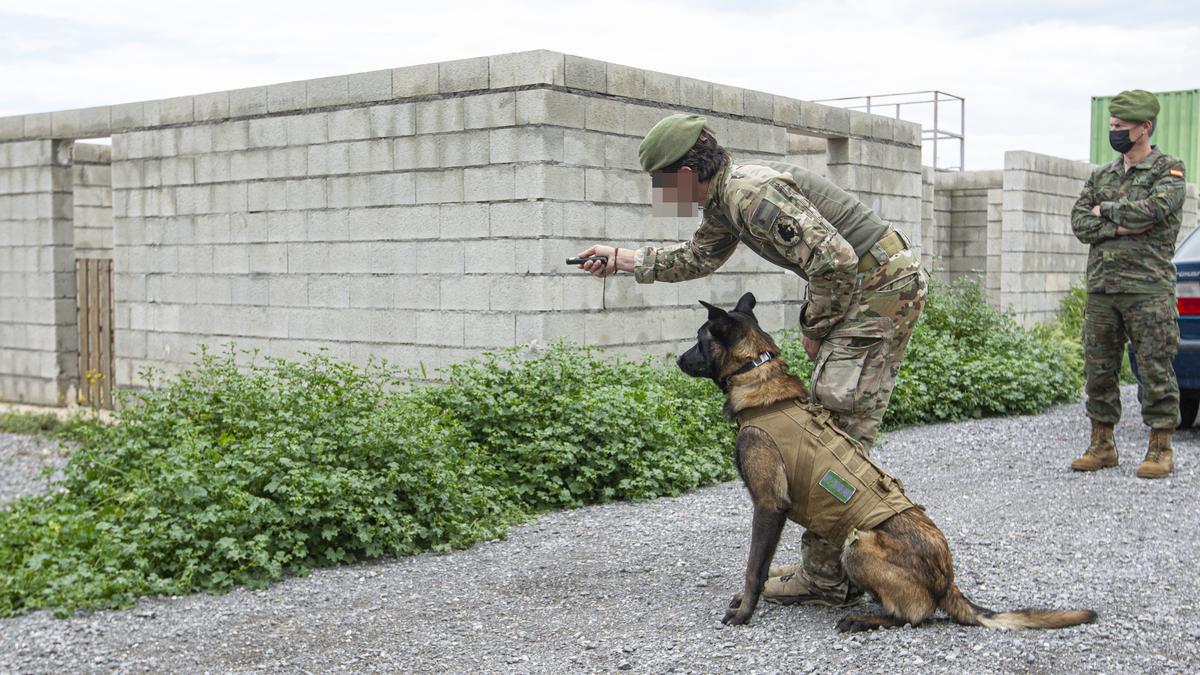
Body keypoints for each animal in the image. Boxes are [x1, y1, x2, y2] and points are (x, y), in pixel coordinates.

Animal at [676, 291, 1099, 629]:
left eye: (698, 340)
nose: (678, 360)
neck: (757, 374)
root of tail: (947, 581)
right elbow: (760, 568)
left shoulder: (768, 506)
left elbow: (754, 568)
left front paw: (744, 612)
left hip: (858, 544)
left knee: (916, 614)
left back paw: (866, 619)